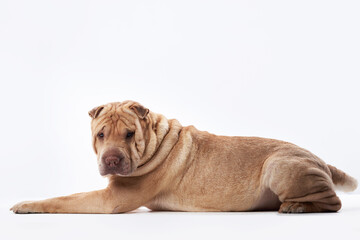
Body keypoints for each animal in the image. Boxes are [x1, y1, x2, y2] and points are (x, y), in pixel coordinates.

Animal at [10, 100, 358, 213]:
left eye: (129, 135)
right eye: (100, 135)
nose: (111, 160)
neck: (154, 141)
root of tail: (319, 159)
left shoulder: (112, 199)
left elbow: (62, 199)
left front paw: (26, 204)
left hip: (278, 165)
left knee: (334, 202)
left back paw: (297, 206)